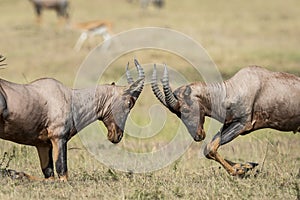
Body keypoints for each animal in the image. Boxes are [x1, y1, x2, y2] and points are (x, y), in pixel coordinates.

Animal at [0, 56, 144, 181]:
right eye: (130, 102)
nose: (117, 136)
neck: (69, 97)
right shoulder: (58, 138)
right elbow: (62, 174)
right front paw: (15, 174)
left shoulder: (43, 145)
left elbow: (49, 176)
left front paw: (16, 174)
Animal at [152, 65, 300, 176]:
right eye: (177, 114)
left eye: (185, 109)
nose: (198, 136)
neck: (233, 89)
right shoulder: (228, 124)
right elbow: (209, 148)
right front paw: (246, 166)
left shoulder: (243, 124)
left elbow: (211, 147)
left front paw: (239, 170)